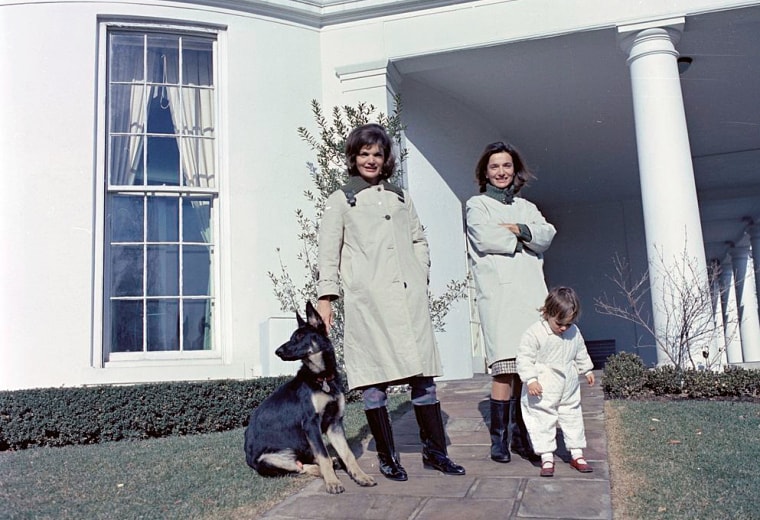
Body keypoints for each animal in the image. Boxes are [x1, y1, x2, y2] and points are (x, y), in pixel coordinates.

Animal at [243, 300, 378, 492]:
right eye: (293, 336)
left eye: (299, 337)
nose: (277, 351)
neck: (322, 377)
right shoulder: (311, 424)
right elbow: (323, 457)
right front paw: (333, 482)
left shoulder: (334, 423)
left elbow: (347, 454)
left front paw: (360, 476)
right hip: (269, 460)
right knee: (301, 467)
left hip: (304, 444)